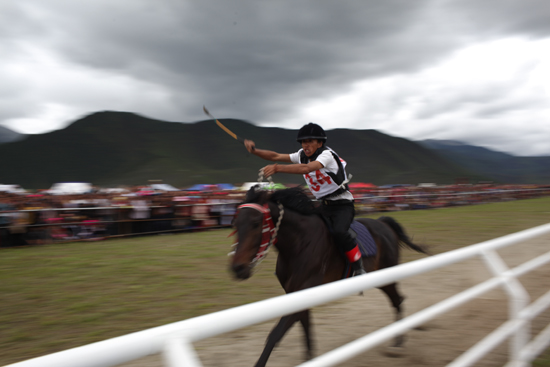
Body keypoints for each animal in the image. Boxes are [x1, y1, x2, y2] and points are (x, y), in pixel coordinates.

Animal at [231, 188, 430, 366]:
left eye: (255, 223)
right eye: (235, 223)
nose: (237, 268)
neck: (300, 243)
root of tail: (383, 223)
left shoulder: (303, 290)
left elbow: (275, 335)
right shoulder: (296, 295)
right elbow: (306, 328)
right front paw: (310, 359)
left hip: (385, 277)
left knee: (397, 300)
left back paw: (397, 344)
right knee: (398, 299)